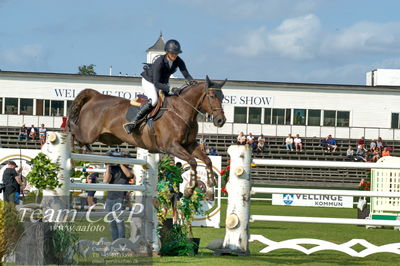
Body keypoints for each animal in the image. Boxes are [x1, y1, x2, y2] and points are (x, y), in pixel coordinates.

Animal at [67, 75, 227, 200]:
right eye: (212, 96)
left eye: (223, 97)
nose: (221, 121)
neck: (181, 110)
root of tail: (96, 96)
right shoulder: (171, 146)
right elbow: (193, 161)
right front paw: (189, 190)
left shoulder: (190, 145)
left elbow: (207, 160)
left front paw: (210, 189)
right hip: (89, 134)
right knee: (74, 130)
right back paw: (71, 149)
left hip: (107, 137)